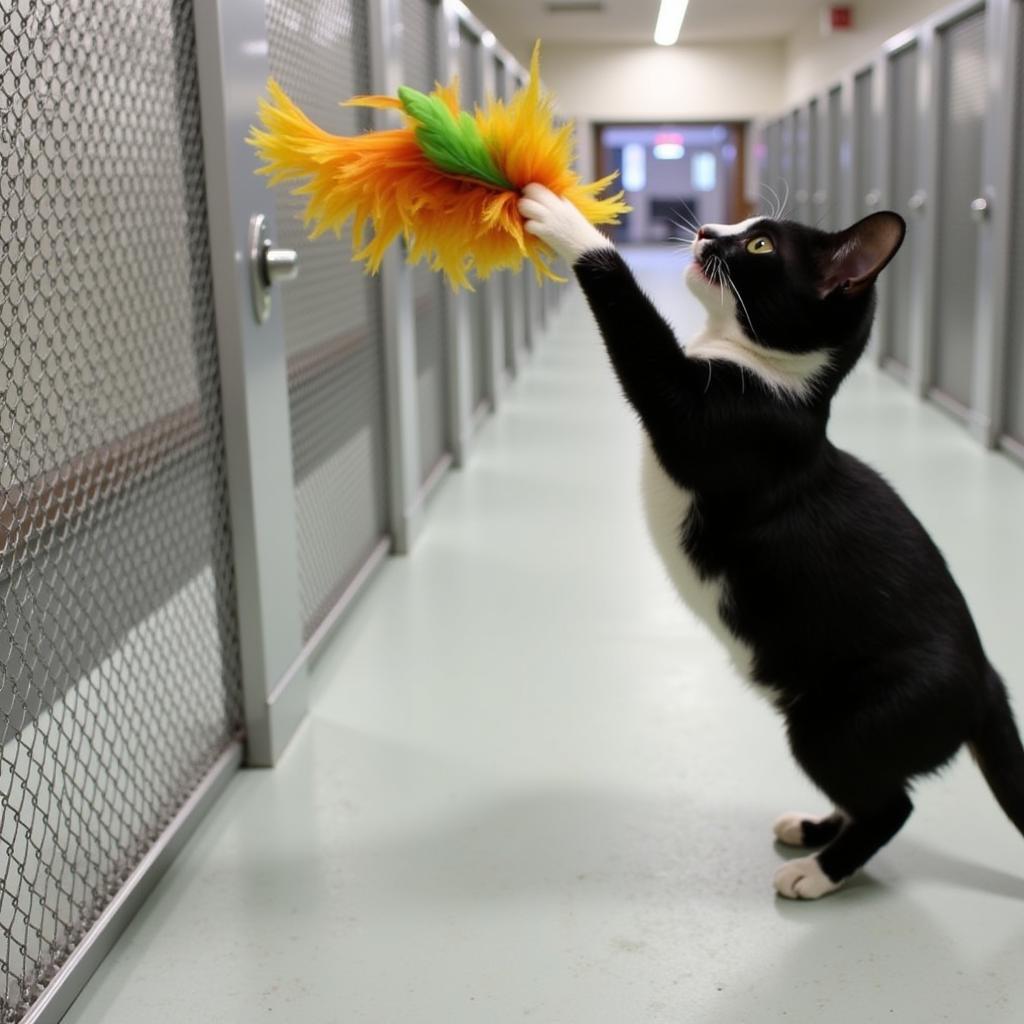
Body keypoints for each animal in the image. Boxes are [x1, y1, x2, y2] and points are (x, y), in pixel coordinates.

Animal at [520, 184, 1024, 905]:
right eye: (741, 225)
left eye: (759, 246)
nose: (708, 230)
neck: (768, 376)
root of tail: (987, 682)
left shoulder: (708, 418)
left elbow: (636, 325)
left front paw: (565, 220)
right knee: (869, 795)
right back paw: (815, 829)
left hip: (839, 720)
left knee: (891, 804)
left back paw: (821, 871)